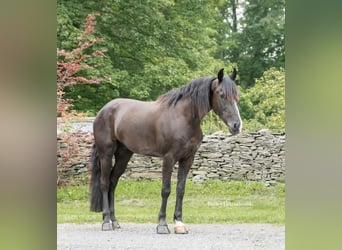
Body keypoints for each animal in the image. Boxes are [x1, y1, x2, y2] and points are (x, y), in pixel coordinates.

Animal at [89, 68, 242, 232]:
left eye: (236, 95)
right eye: (221, 94)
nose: (236, 125)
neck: (183, 117)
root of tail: (103, 110)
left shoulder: (187, 159)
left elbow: (180, 189)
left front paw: (179, 223)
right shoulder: (169, 158)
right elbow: (166, 189)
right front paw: (162, 224)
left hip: (124, 155)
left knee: (113, 182)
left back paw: (115, 221)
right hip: (106, 154)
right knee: (105, 183)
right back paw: (106, 222)